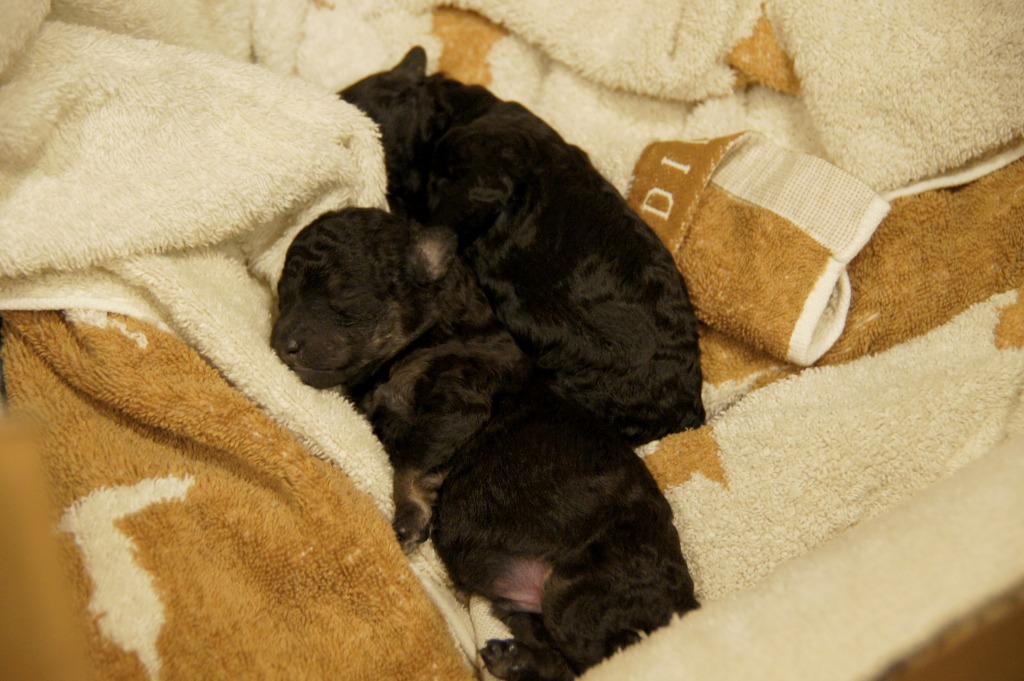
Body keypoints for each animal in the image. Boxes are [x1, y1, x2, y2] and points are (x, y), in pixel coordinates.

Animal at [272, 208, 699, 680]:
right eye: (283, 295)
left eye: (342, 291)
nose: (280, 344)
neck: (435, 330)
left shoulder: (458, 402)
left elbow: (411, 464)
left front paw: (409, 518)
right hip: (526, 607)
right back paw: (511, 658)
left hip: (585, 589)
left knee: (601, 656)